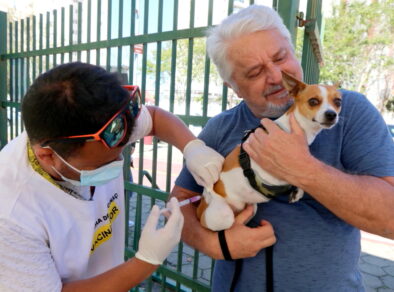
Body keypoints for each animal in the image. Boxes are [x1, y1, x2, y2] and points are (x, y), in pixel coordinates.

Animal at [197, 71, 342, 230]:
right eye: (313, 101)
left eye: (338, 102)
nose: (331, 114)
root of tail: (201, 208)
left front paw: (297, 191)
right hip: (223, 215)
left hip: (251, 209)